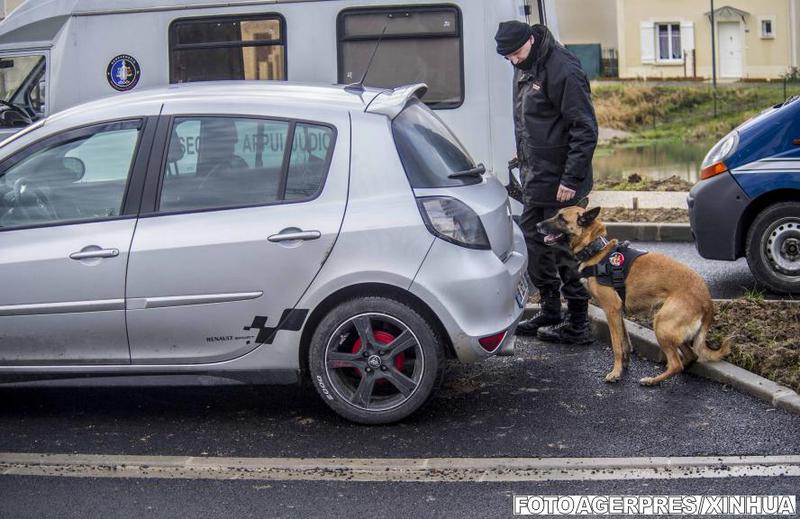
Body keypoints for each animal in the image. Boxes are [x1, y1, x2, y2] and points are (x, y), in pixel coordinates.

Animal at [536, 207, 732, 386]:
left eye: (561, 218)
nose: (537, 225)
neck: (596, 250)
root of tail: (707, 301)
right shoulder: (619, 312)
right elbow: (625, 342)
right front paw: (624, 366)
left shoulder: (611, 310)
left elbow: (616, 345)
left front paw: (615, 373)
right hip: (671, 330)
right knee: (690, 357)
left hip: (661, 325)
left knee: (676, 364)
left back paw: (652, 380)